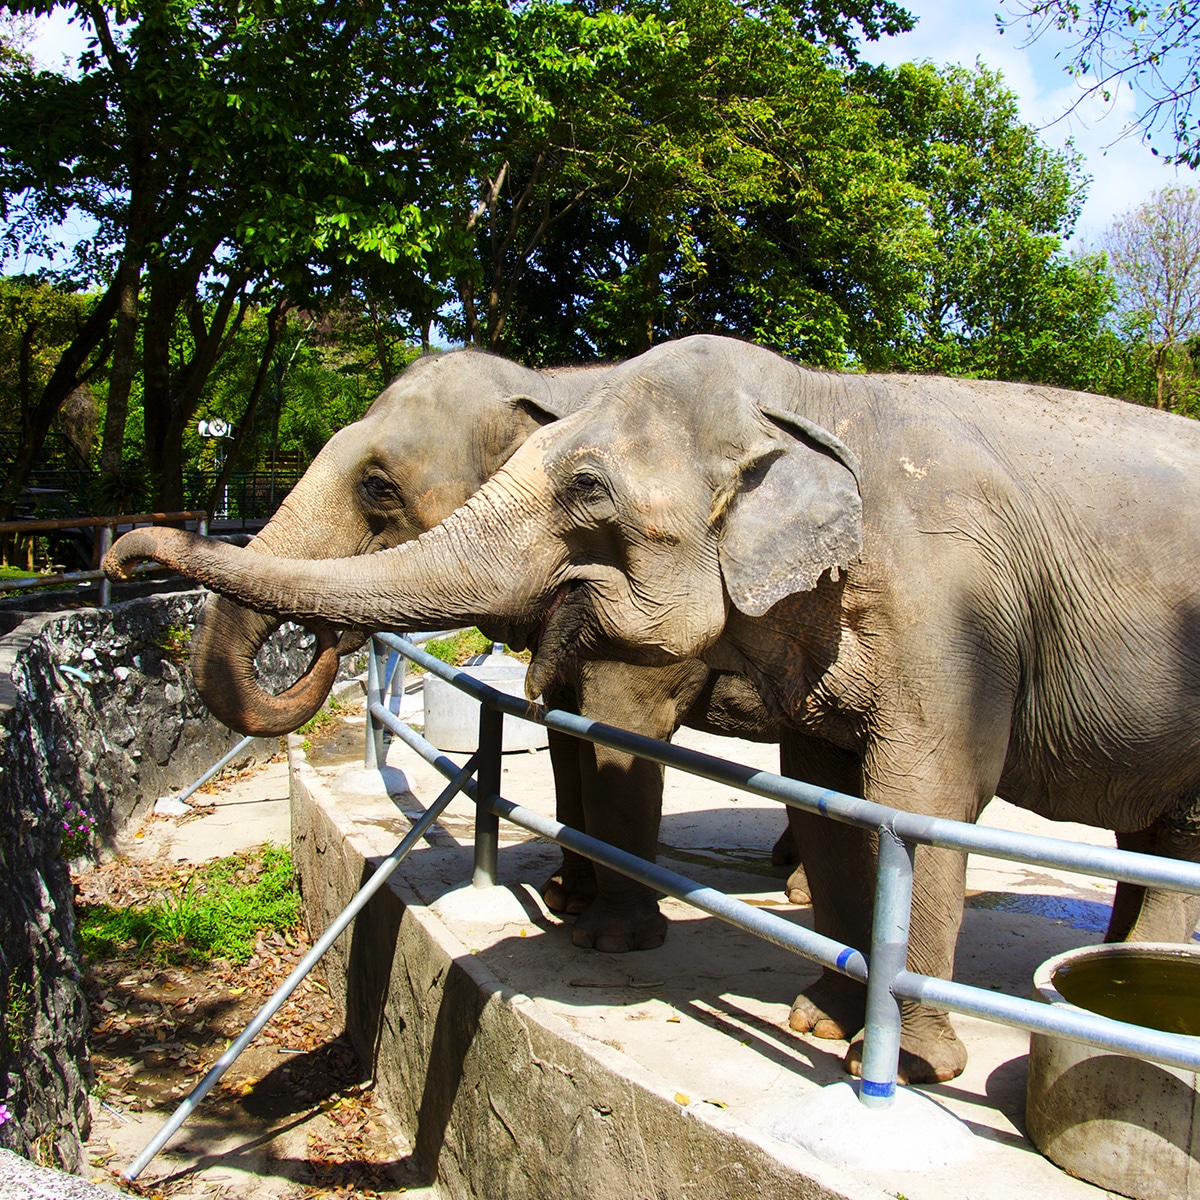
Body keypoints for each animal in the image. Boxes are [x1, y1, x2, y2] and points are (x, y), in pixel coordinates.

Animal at [183, 349, 794, 955]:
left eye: (376, 486)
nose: (327, 641)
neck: (553, 383)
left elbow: (621, 732)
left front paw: (611, 939)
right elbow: (565, 741)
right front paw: (564, 899)